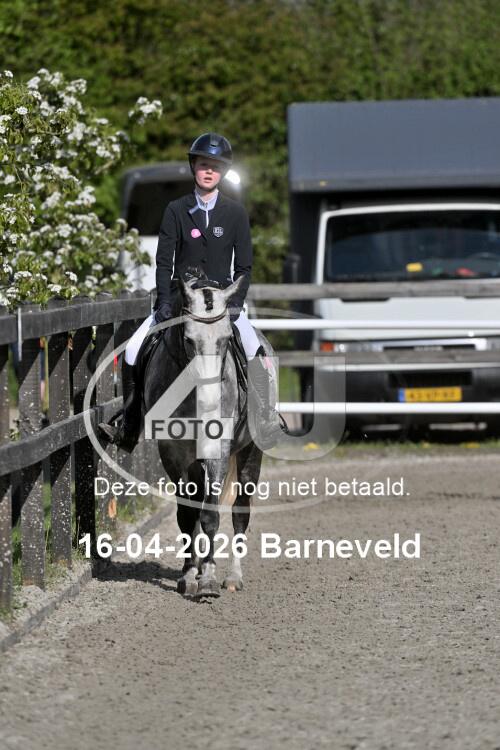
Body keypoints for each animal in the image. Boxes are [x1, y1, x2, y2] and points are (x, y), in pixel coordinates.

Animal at [142, 274, 275, 598]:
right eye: (189, 340)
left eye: (226, 339)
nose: (211, 401)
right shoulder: (173, 453)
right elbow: (188, 515)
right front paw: (190, 575)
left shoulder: (218, 451)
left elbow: (211, 514)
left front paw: (210, 580)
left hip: (250, 452)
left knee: (240, 510)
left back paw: (233, 577)